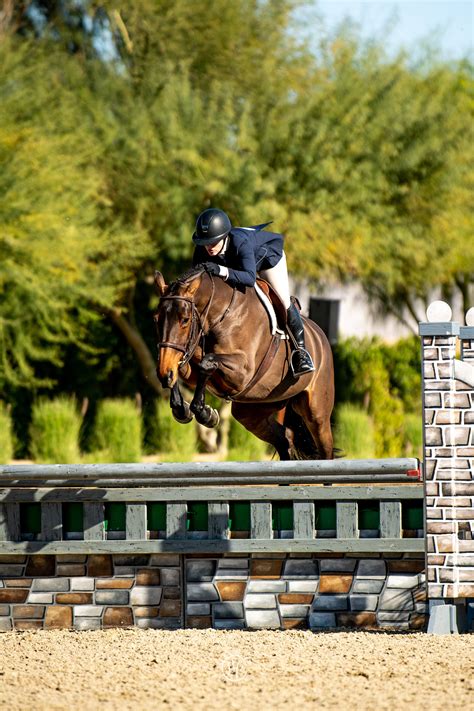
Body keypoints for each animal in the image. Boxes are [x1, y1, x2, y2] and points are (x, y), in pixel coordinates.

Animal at [153, 266, 335, 460]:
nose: (163, 373)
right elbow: (185, 366)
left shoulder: (242, 373)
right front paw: (182, 408)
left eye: (185, 319)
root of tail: (320, 336)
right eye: (156, 319)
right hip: (253, 410)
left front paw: (204, 412)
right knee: (285, 438)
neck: (221, 314)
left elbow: (207, 362)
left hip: (317, 415)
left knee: (325, 448)